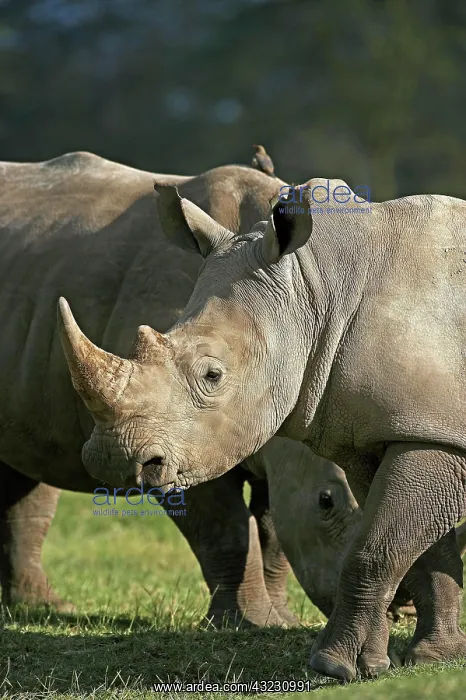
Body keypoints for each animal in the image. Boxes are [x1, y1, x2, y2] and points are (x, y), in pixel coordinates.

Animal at [0, 151, 364, 627]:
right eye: (327, 502)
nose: (404, 605)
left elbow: (272, 529)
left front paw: (282, 621)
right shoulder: (175, 436)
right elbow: (225, 527)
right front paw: (247, 624)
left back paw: (44, 607)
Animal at [61, 177, 466, 681]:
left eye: (212, 375)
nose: (113, 461)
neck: (318, 287)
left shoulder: (433, 432)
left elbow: (378, 545)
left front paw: (333, 667)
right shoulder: (396, 428)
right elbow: (421, 549)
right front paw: (427, 658)